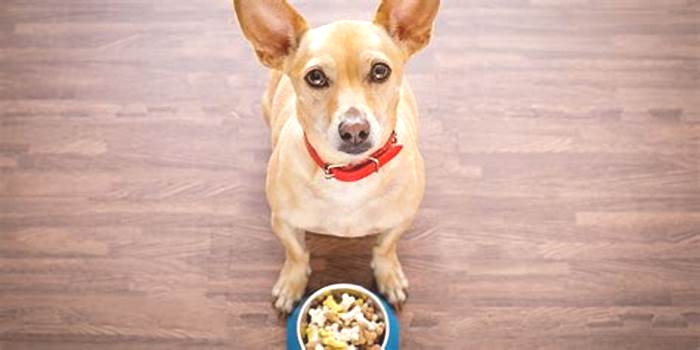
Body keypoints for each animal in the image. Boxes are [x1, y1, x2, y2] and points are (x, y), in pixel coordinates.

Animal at [232, 0, 440, 312]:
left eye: (380, 71)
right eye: (315, 77)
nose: (354, 130)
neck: (348, 175)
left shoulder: (401, 220)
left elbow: (384, 247)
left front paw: (388, 275)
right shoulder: (283, 223)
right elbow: (297, 254)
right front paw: (292, 283)